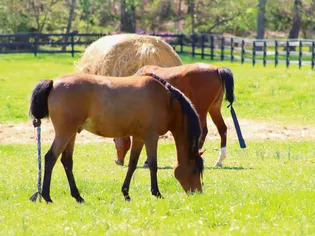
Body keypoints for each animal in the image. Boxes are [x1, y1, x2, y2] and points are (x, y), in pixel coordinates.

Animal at [29, 72, 205, 203]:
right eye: (194, 170)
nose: (198, 194)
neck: (168, 101)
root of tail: (53, 83)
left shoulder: (139, 137)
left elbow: (132, 164)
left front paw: (126, 194)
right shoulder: (151, 136)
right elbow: (153, 164)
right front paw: (156, 193)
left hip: (71, 134)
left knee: (66, 161)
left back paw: (78, 197)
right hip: (64, 133)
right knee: (50, 158)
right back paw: (47, 196)